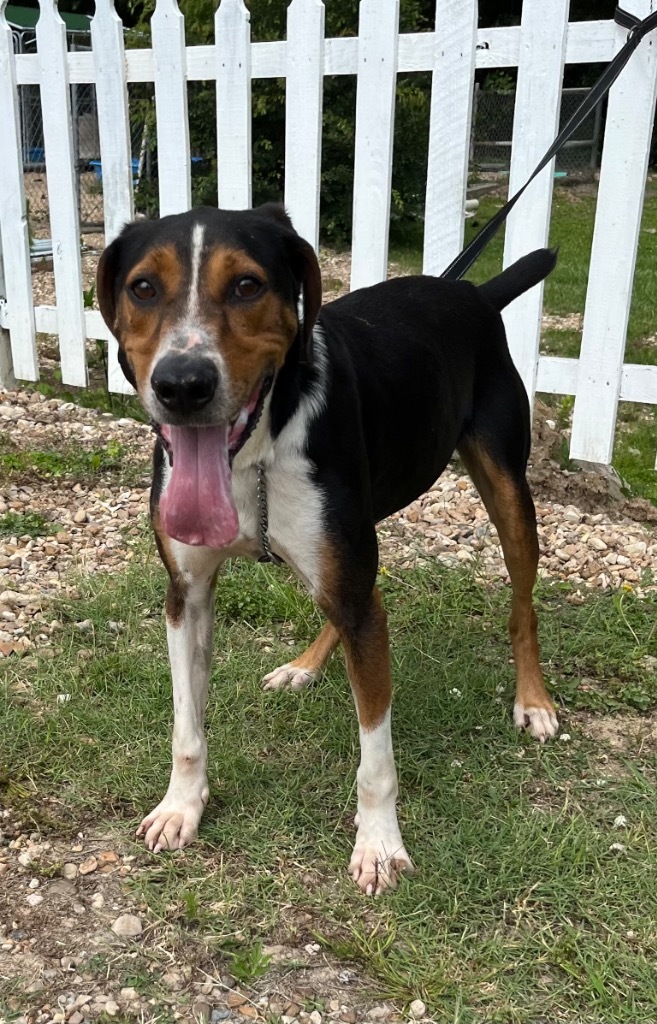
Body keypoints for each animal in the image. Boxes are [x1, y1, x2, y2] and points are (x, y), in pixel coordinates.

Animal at [97, 205, 556, 897]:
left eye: (248, 285)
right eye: (143, 288)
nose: (183, 384)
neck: (258, 451)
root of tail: (473, 293)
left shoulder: (353, 586)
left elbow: (376, 756)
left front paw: (380, 846)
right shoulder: (187, 595)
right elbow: (186, 726)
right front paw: (181, 807)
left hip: (506, 487)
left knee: (520, 604)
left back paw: (533, 700)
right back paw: (304, 666)